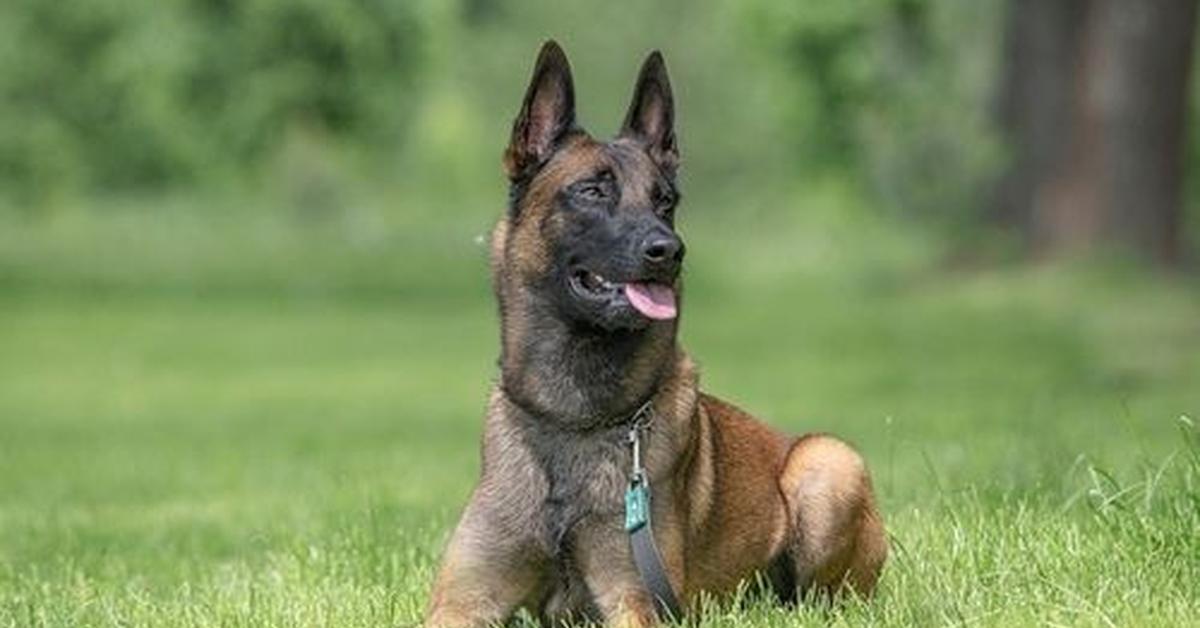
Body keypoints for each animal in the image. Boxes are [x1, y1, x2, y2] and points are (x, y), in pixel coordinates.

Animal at [427, 41, 888, 624]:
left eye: (664, 200)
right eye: (593, 191)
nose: (669, 251)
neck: (574, 418)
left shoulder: (635, 599)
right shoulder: (462, 603)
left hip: (829, 461)